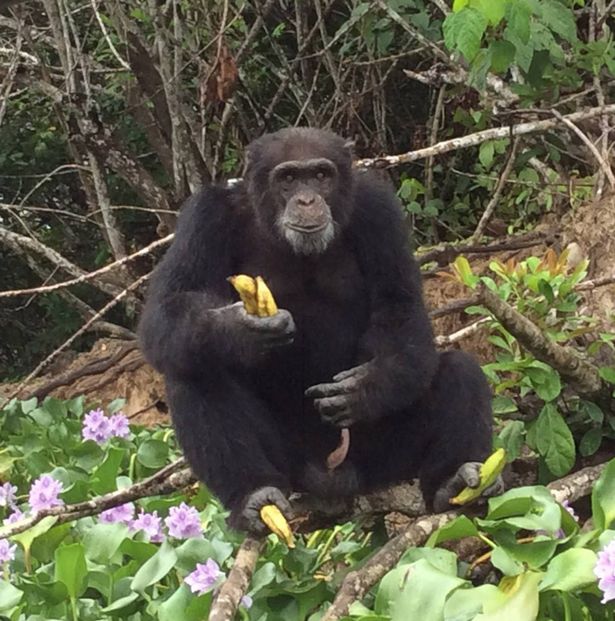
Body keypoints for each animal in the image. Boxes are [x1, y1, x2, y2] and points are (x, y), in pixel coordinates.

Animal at [137, 127, 498, 532]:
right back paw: (255, 495)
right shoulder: (204, 217)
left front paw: (364, 388)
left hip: (377, 460)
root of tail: (330, 479)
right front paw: (241, 329)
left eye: (321, 175)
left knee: (460, 369)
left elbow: (400, 307)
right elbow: (168, 307)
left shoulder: (380, 212)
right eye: (289, 178)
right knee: (193, 373)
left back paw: (451, 483)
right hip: (292, 465)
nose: (307, 199)